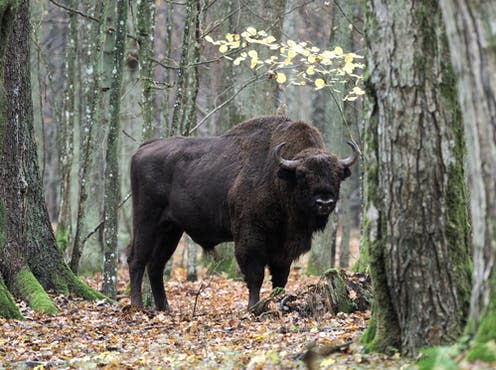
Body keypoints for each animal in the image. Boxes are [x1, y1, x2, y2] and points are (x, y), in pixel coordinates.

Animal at [127, 115, 356, 310]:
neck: (279, 178)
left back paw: (164, 308)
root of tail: (142, 149)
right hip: (146, 222)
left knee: (156, 265)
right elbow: (255, 274)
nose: (324, 201)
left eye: (337, 175)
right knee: (136, 259)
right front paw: (253, 307)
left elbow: (280, 277)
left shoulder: (283, 246)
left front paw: (278, 302)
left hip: (171, 230)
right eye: (303, 175)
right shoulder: (251, 235)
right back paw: (138, 306)